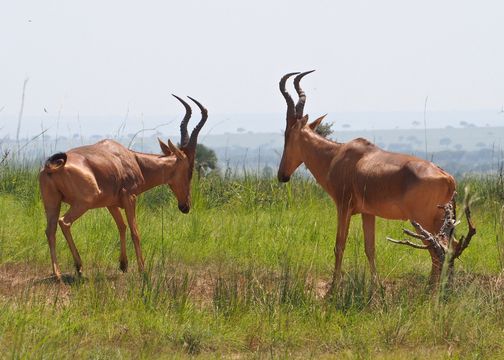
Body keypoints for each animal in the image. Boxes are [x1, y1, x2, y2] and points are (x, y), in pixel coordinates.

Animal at [37, 94, 207, 280]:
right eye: (189, 170)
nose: (185, 206)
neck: (133, 160)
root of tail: (52, 166)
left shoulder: (111, 204)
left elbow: (122, 226)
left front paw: (123, 265)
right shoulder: (130, 198)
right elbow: (135, 231)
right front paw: (142, 270)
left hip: (52, 203)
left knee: (50, 230)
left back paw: (58, 273)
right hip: (83, 203)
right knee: (64, 222)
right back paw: (79, 267)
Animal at [278, 71, 454, 292]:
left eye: (287, 134)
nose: (282, 175)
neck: (338, 155)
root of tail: (447, 177)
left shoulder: (343, 206)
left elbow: (339, 244)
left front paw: (333, 289)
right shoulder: (368, 213)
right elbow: (370, 248)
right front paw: (377, 286)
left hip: (423, 221)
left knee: (437, 251)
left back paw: (431, 291)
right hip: (440, 220)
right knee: (449, 249)